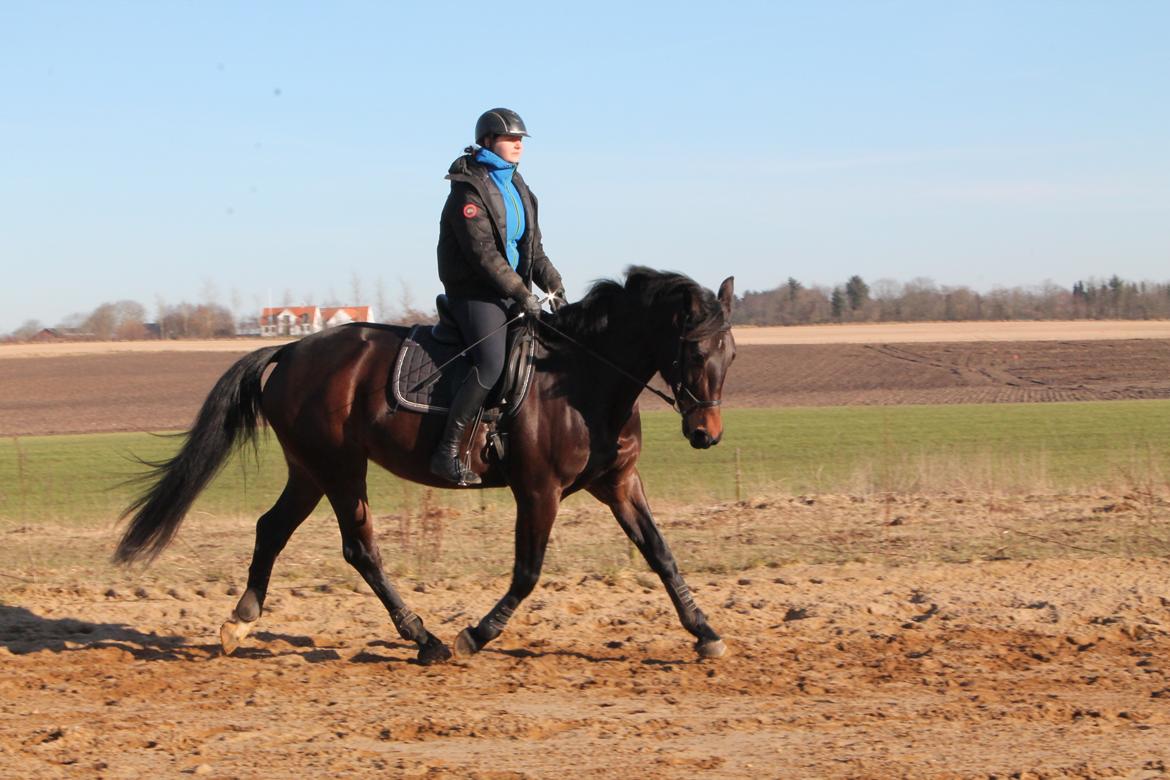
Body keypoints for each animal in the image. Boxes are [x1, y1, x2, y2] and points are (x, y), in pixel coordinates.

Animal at [114, 266, 734, 664]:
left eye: (729, 354)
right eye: (694, 350)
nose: (706, 434)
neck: (583, 379)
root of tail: (289, 350)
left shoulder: (619, 483)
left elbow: (660, 553)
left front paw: (705, 632)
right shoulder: (539, 490)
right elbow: (528, 572)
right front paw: (474, 636)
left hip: (310, 470)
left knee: (273, 529)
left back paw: (239, 622)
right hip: (340, 468)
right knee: (360, 549)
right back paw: (426, 639)